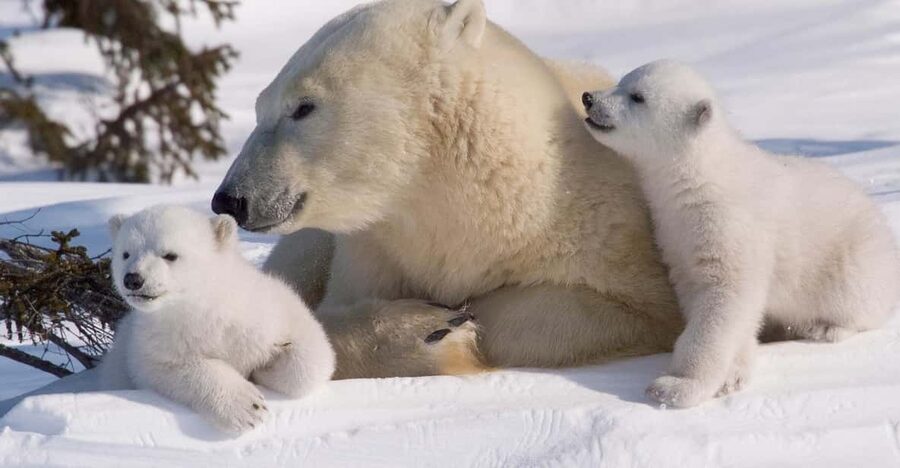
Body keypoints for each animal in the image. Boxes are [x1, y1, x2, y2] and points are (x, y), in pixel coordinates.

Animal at [98, 205, 336, 432]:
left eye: (170, 255)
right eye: (126, 254)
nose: (133, 279)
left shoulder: (266, 311)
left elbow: (312, 353)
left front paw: (265, 369)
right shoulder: (153, 341)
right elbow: (169, 368)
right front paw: (248, 406)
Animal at [211, 0, 684, 379]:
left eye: (303, 107)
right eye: (260, 106)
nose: (230, 198)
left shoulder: (604, 230)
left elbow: (624, 308)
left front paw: (455, 324)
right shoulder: (374, 250)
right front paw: (426, 330)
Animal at [581, 60, 900, 407]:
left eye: (637, 96)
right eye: (622, 80)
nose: (588, 98)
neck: (700, 178)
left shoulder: (730, 226)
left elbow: (724, 298)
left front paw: (675, 386)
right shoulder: (676, 236)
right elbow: (708, 299)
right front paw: (733, 375)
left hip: (853, 258)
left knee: (855, 298)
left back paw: (827, 328)